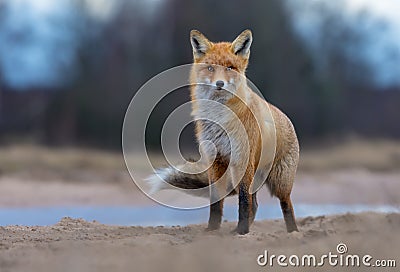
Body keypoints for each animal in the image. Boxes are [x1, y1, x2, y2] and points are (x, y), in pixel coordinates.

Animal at [148, 29, 298, 234]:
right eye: (211, 68)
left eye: (230, 67)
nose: (219, 83)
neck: (219, 119)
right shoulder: (215, 159)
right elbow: (216, 202)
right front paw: (213, 230)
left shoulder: (242, 160)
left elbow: (243, 202)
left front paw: (242, 232)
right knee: (255, 204)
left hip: (278, 182)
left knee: (286, 204)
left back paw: (293, 232)